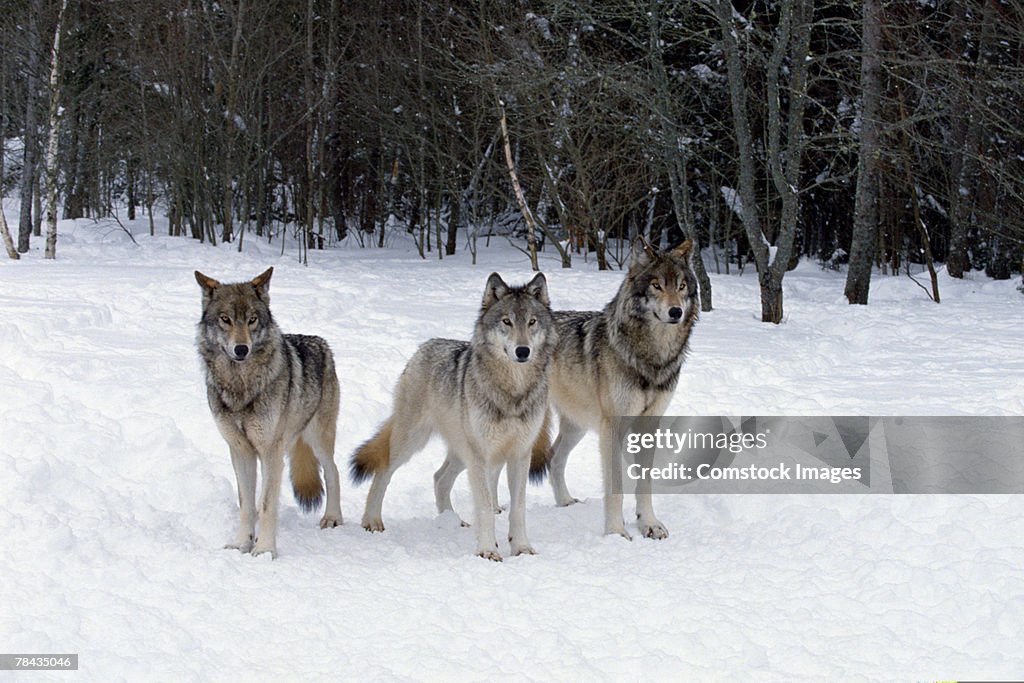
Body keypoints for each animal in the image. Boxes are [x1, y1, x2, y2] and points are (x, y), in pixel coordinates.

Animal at [195, 264, 344, 557]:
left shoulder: (269, 451)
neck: (240, 386)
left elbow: (265, 506)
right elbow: (246, 504)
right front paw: (241, 543)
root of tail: (323, 343)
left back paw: (332, 518)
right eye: (226, 319)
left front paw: (264, 550)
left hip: (317, 439)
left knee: (333, 472)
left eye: (252, 319)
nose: (241, 349)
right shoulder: (240, 450)